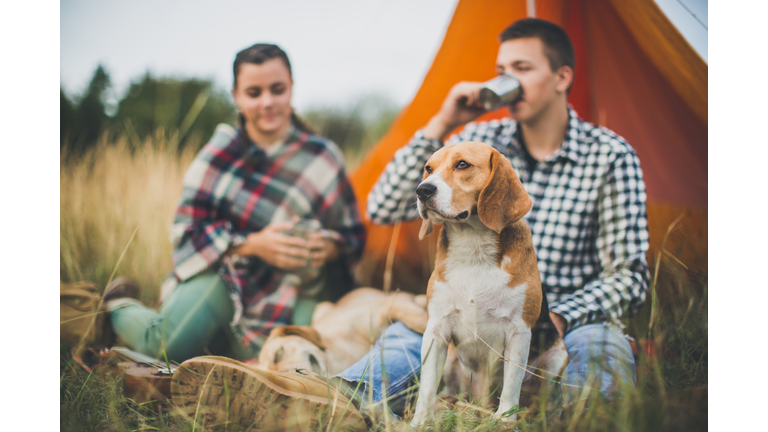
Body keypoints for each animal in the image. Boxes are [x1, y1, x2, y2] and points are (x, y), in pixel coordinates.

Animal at [412, 142, 568, 426]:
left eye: (462, 164)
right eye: (428, 168)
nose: (422, 190)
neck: (473, 246)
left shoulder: (519, 332)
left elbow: (511, 383)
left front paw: (505, 420)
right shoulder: (436, 331)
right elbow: (427, 385)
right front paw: (420, 422)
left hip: (557, 357)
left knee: (546, 399)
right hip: (452, 360)